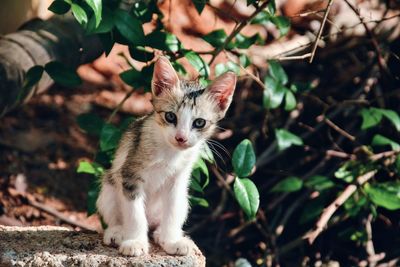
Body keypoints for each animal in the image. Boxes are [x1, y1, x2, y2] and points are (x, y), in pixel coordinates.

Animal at [95, 57, 236, 258]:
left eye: (199, 122)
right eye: (170, 116)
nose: (181, 138)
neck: (170, 153)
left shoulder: (177, 180)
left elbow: (172, 211)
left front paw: (171, 241)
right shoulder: (129, 174)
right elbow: (135, 213)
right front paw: (135, 242)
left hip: (184, 199)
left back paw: (162, 234)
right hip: (109, 184)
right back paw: (118, 232)